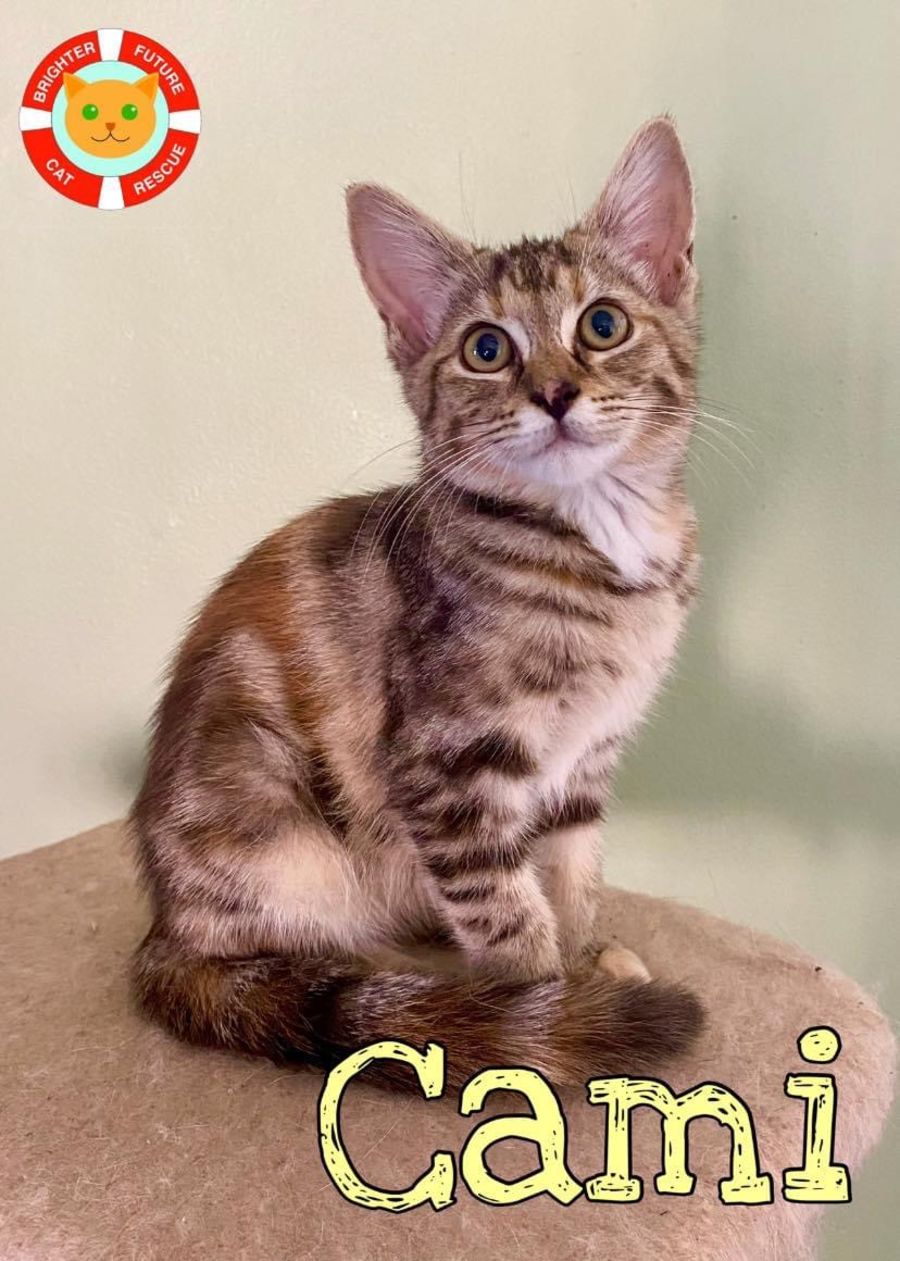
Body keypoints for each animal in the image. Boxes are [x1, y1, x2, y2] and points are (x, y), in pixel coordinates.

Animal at [131, 117, 704, 1091]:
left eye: (603, 324)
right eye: (487, 348)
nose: (555, 393)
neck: (593, 546)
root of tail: (162, 925)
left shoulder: (584, 759)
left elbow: (572, 872)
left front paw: (588, 958)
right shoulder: (448, 764)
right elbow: (507, 907)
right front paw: (544, 1008)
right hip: (277, 828)